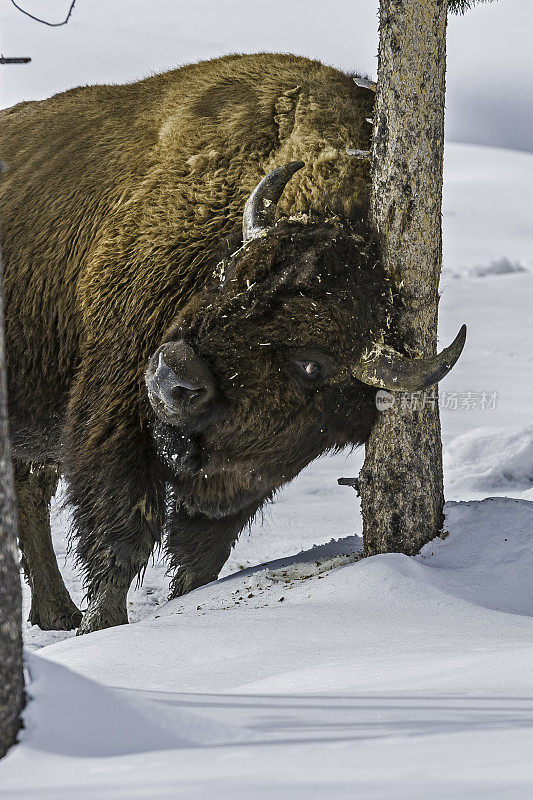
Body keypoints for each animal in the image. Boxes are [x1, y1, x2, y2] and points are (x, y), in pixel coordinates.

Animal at [0, 53, 462, 636]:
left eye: (312, 365)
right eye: (228, 273)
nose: (173, 377)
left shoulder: (248, 473)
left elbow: (200, 552)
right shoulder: (116, 407)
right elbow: (123, 532)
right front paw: (101, 626)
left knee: (30, 491)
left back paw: (56, 614)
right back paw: (63, 616)